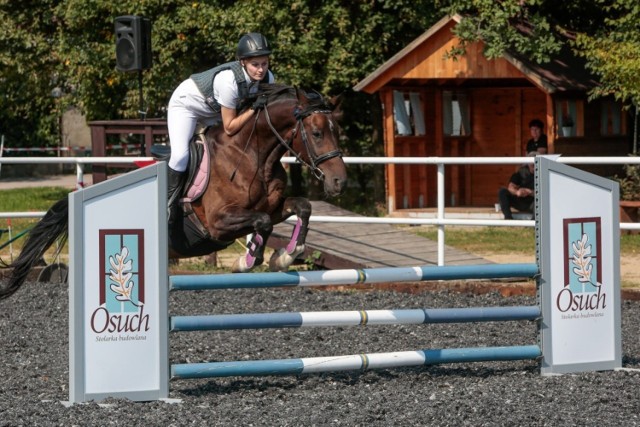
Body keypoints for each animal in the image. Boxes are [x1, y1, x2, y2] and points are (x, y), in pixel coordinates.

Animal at [0, 84, 348, 300]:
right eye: (316, 132)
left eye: (337, 130)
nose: (339, 182)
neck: (252, 155)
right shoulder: (218, 223)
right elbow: (261, 222)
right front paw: (247, 261)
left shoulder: (275, 207)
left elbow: (301, 208)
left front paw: (285, 256)